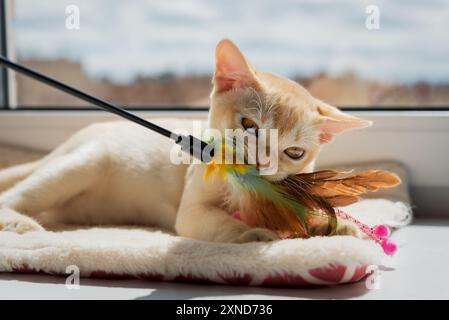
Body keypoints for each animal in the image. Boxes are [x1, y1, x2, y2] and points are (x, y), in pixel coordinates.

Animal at [0, 38, 370, 241]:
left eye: (294, 152)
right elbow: (221, 223)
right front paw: (252, 235)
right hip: (85, 162)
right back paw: (20, 224)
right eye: (249, 125)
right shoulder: (191, 211)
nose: (263, 162)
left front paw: (339, 227)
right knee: (13, 196)